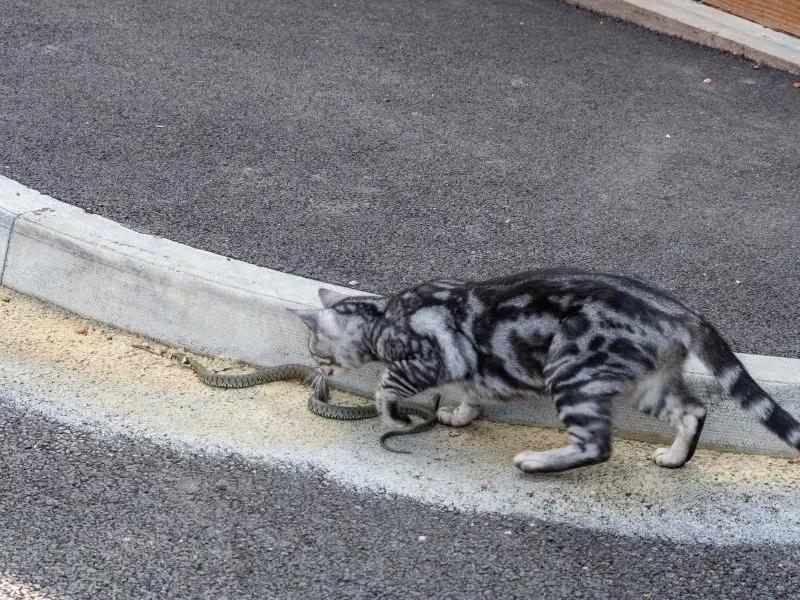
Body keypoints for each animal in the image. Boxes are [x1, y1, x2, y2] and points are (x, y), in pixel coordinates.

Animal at [292, 268, 800, 474]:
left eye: (317, 350)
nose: (317, 366)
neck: (384, 314)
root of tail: (679, 311)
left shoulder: (425, 358)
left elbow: (386, 385)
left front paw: (393, 415)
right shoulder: (464, 363)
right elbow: (468, 390)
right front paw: (459, 414)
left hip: (572, 374)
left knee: (597, 447)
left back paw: (537, 463)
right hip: (649, 385)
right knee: (693, 411)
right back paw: (675, 458)